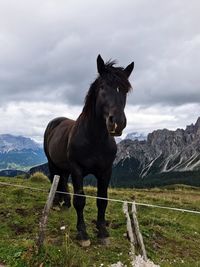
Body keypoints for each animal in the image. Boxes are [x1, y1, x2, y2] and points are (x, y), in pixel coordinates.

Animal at [44, 55, 134, 248]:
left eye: (125, 90)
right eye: (102, 87)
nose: (117, 123)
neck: (95, 139)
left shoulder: (106, 171)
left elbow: (102, 200)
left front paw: (103, 232)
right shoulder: (77, 169)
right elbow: (80, 200)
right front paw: (83, 233)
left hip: (65, 167)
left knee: (63, 180)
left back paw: (65, 204)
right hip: (53, 163)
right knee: (55, 178)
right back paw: (56, 203)